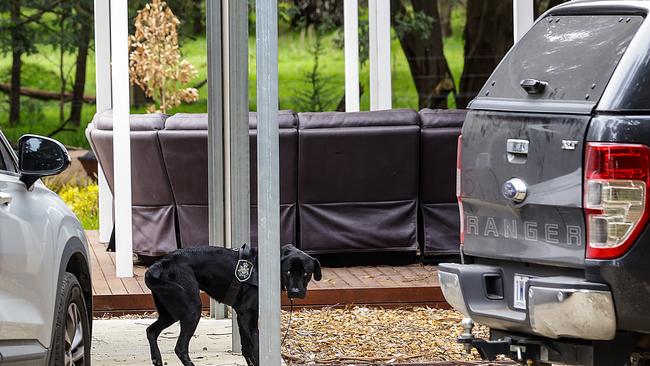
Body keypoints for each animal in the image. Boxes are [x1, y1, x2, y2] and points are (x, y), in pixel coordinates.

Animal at [145, 243, 322, 366]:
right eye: (288, 271)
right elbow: (255, 347)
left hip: (171, 312)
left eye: (306, 273)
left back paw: (156, 358)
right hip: (191, 310)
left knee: (151, 331)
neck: (261, 268)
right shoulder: (247, 315)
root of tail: (163, 262)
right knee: (180, 347)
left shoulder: (241, 316)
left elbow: (246, 349)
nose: (295, 291)